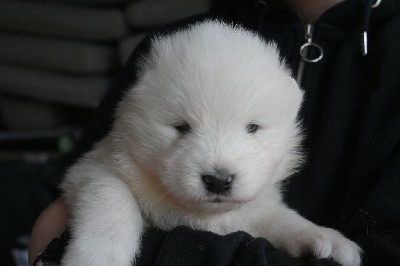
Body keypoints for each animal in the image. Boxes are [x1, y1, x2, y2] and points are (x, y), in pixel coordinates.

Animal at [60, 21, 362, 266]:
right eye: (181, 127)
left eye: (252, 128)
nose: (218, 181)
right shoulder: (91, 168)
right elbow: (112, 198)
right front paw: (95, 258)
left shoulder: (257, 207)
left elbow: (282, 219)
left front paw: (330, 240)